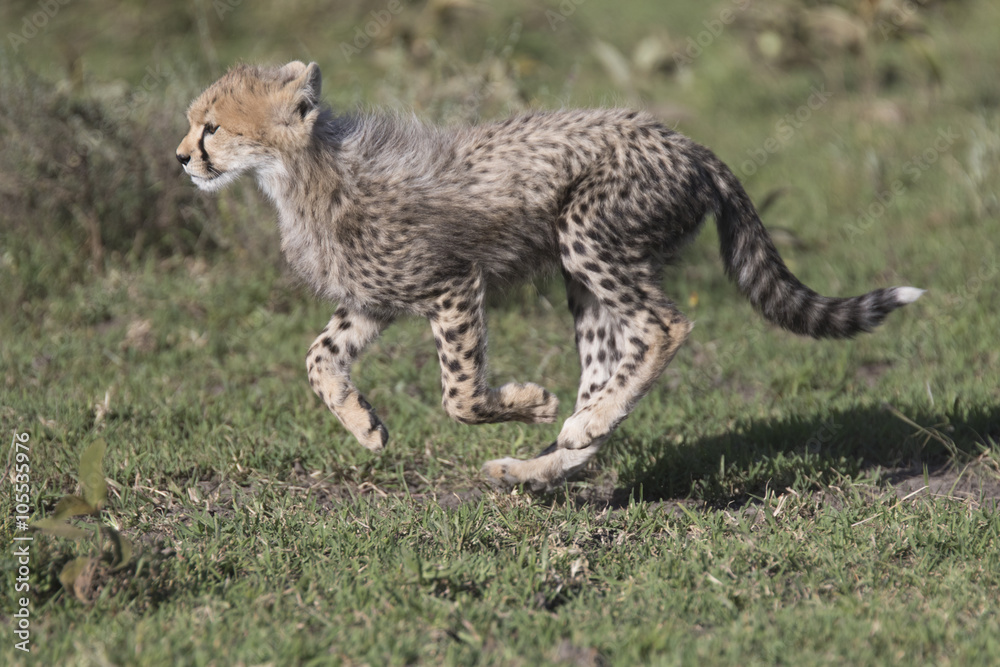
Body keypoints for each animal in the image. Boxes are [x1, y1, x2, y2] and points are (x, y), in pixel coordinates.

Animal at [176, 61, 923, 492]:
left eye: (211, 126)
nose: (182, 157)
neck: (306, 171)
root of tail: (687, 142)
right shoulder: (372, 300)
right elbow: (317, 357)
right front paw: (364, 426)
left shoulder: (451, 283)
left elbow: (458, 393)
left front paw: (526, 399)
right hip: (583, 278)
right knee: (607, 372)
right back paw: (556, 448)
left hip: (587, 231)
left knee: (664, 325)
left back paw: (572, 424)